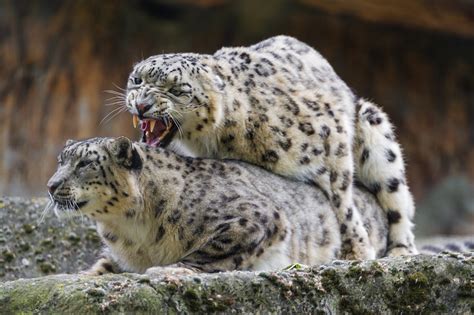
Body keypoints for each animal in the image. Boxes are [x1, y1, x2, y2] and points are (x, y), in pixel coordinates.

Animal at [46, 137, 390, 276]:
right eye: (61, 160)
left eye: (85, 163)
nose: (50, 185)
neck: (131, 230)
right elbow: (105, 263)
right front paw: (86, 273)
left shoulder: (254, 218)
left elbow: (208, 250)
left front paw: (168, 267)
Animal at [124, 34, 416, 260]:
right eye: (137, 80)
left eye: (176, 89)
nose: (142, 105)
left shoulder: (331, 134)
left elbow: (341, 198)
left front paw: (356, 251)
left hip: (375, 129)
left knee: (397, 199)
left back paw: (401, 249)